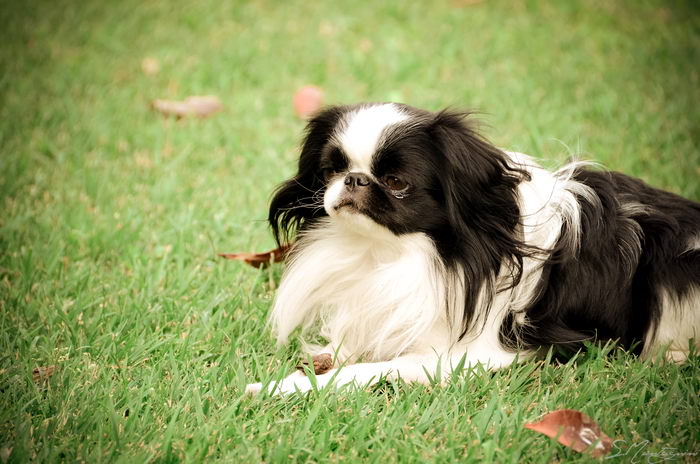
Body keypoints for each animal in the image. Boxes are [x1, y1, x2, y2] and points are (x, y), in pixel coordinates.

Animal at [243, 103, 696, 394]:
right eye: (331, 170)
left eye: (396, 182)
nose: (354, 179)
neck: (396, 253)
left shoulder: (475, 354)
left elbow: (373, 369)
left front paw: (283, 386)